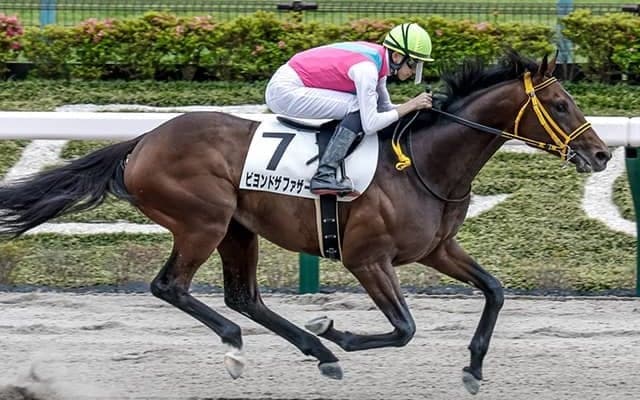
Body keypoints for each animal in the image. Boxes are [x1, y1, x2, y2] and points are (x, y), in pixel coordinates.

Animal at [0, 51, 610, 395]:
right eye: (560, 104)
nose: (602, 155)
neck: (423, 163)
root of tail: (142, 140)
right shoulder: (368, 259)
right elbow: (404, 328)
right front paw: (336, 330)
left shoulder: (437, 249)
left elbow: (496, 291)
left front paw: (474, 369)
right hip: (202, 222)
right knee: (171, 286)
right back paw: (251, 346)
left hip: (237, 229)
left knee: (244, 297)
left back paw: (312, 353)